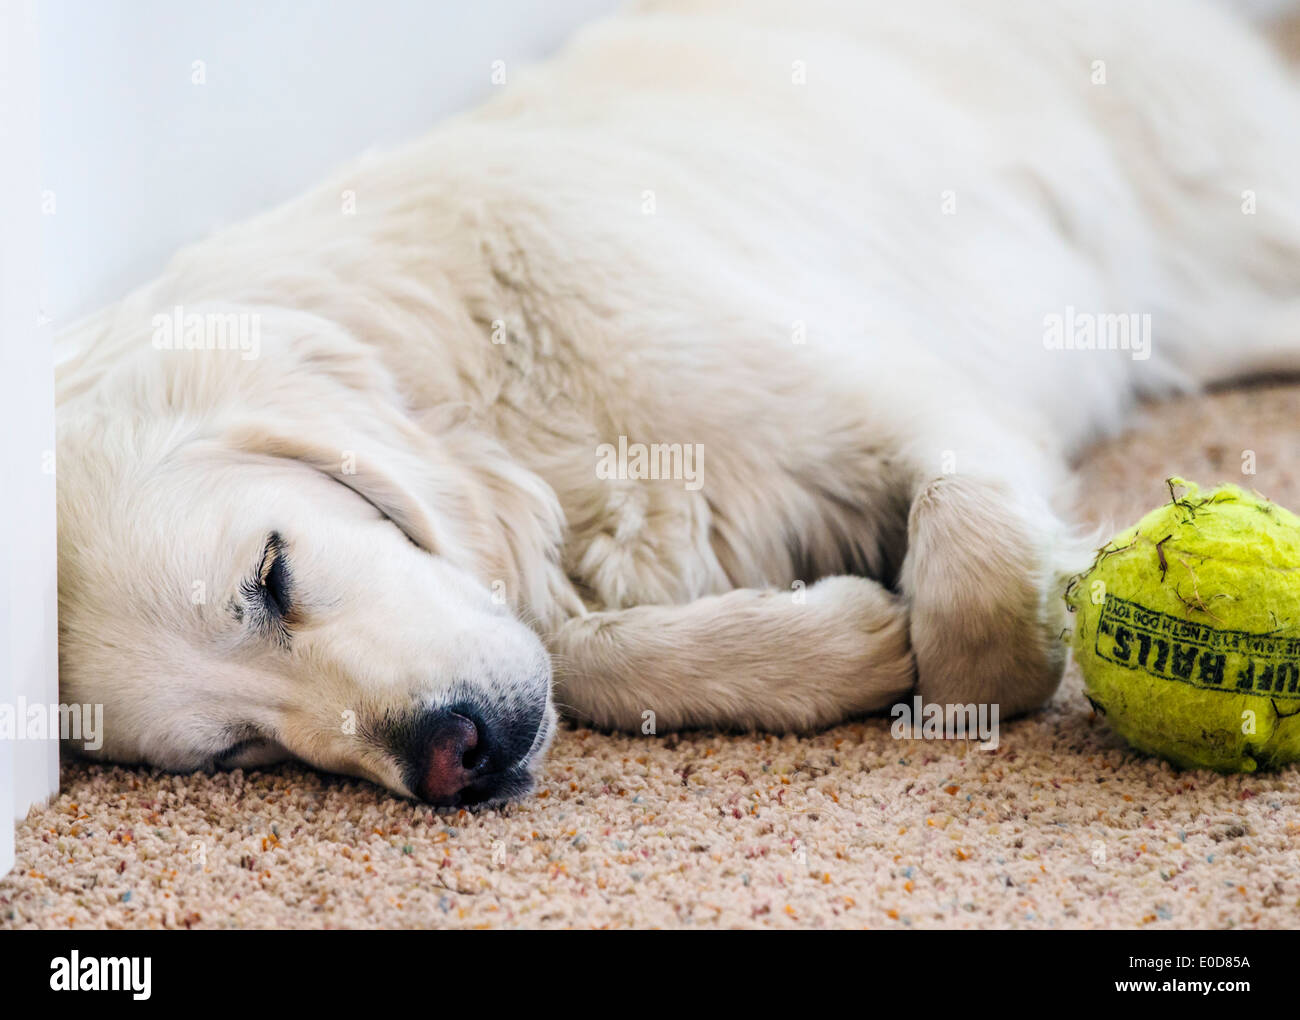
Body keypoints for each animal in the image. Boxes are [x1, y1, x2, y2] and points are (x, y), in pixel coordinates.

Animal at [55, 0, 1300, 805]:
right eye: (237, 751)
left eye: (272, 576)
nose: (453, 754)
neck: (496, 401)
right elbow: (587, 654)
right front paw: (837, 640)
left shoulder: (911, 407)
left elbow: (974, 599)